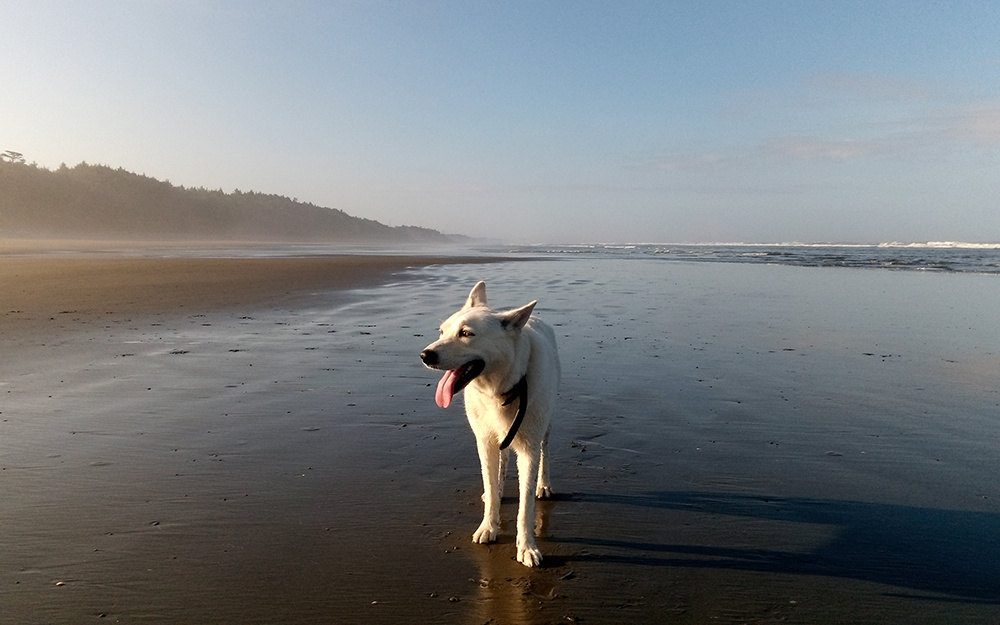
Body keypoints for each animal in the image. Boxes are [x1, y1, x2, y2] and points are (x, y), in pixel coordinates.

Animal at [418, 282, 560, 564]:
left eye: (466, 333)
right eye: (442, 331)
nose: (425, 355)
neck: (502, 391)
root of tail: (532, 319)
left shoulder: (528, 449)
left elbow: (525, 506)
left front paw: (526, 547)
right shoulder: (484, 442)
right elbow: (491, 486)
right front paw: (488, 526)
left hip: (545, 426)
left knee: (546, 451)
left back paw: (544, 484)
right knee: (501, 463)